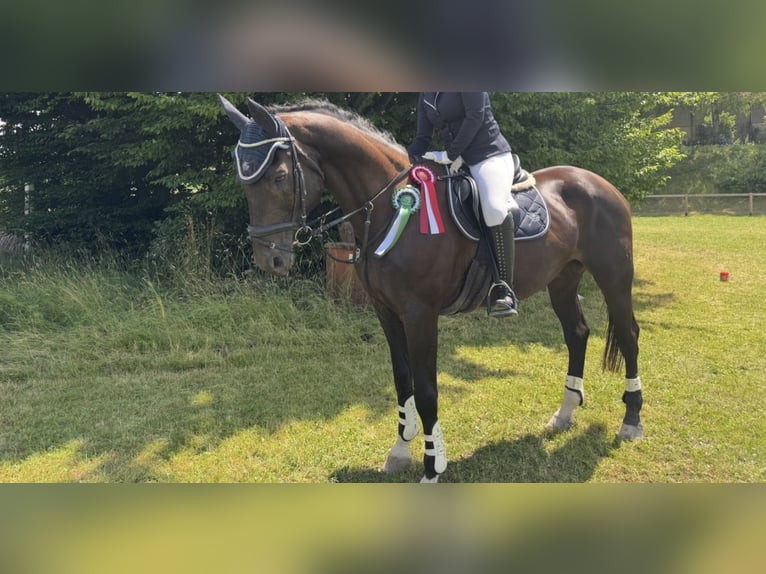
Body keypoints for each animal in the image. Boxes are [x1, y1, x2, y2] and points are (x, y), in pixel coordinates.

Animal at [219, 95, 643, 483]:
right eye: (243, 183)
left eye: (278, 176)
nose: (271, 261)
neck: (392, 208)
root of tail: (598, 182)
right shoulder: (387, 312)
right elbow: (402, 381)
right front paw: (398, 453)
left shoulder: (420, 314)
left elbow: (425, 390)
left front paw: (431, 466)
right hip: (562, 278)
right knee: (577, 333)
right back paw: (565, 413)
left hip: (614, 275)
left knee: (628, 335)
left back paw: (631, 420)